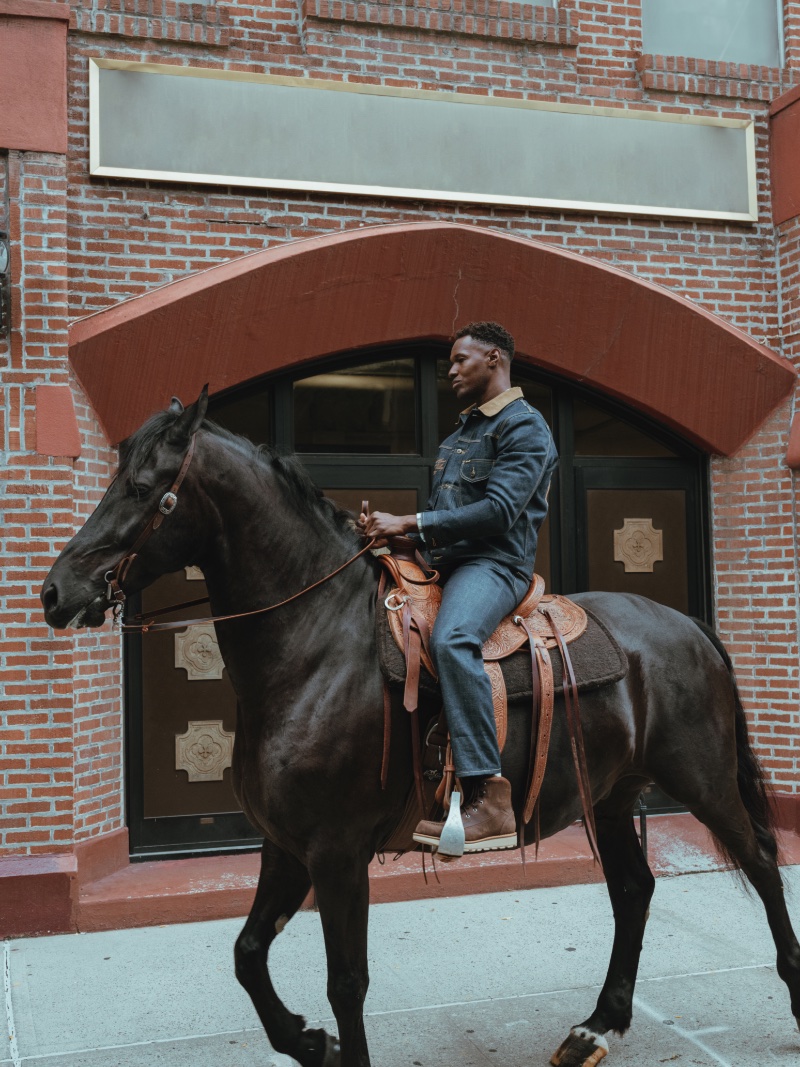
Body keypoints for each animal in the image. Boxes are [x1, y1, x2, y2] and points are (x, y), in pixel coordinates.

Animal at [40, 392, 800, 1067]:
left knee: (762, 860)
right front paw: (310, 1042)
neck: (315, 645)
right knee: (635, 888)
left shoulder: (337, 852)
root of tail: (689, 624)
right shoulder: (285, 845)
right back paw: (596, 1026)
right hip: (611, 796)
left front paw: (331, 1041)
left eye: (142, 488)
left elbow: (346, 982)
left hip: (703, 781)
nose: (55, 591)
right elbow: (248, 955)